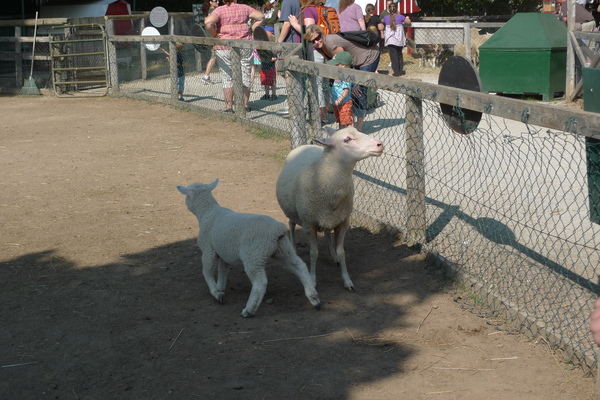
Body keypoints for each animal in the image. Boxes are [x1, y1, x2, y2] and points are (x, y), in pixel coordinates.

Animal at [176, 180, 322, 318]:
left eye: (187, 196)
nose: (185, 202)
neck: (208, 212)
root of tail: (277, 229)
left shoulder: (208, 250)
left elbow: (206, 272)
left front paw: (216, 293)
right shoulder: (224, 253)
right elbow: (223, 272)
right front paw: (220, 289)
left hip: (254, 256)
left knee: (260, 283)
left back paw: (249, 310)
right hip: (283, 250)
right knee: (300, 266)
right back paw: (314, 298)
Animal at [276, 126, 384, 290]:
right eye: (347, 139)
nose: (380, 144)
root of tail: (304, 145)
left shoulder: (343, 222)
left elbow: (342, 252)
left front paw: (347, 280)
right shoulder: (309, 224)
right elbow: (313, 253)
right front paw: (313, 279)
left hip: (328, 217)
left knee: (327, 232)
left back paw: (332, 255)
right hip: (293, 210)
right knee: (291, 225)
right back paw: (294, 248)